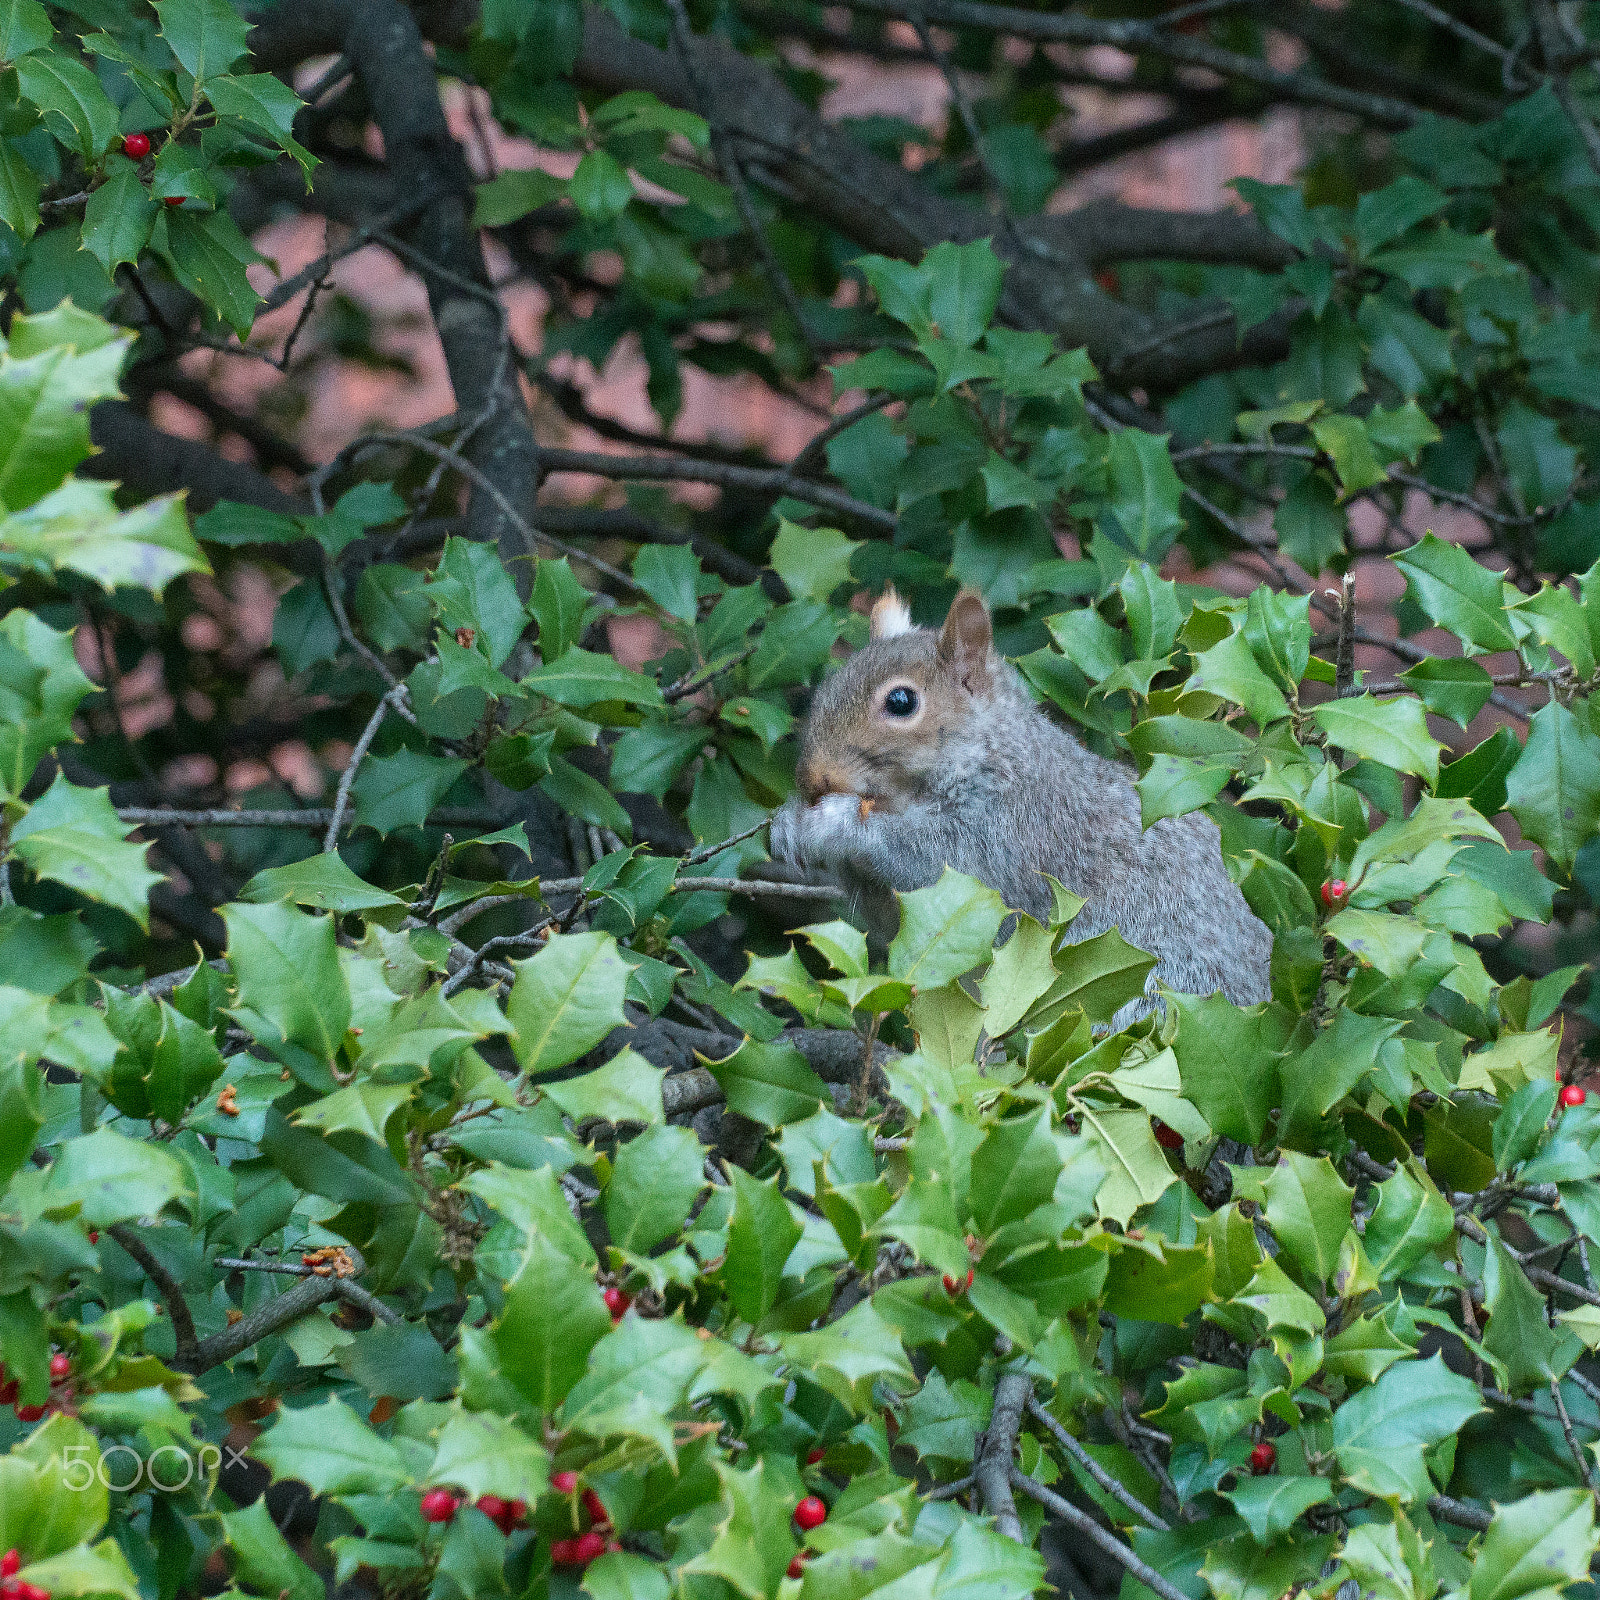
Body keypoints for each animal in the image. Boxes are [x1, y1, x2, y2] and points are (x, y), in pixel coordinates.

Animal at [768, 586, 1273, 1024]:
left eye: (901, 701)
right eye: (826, 687)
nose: (812, 780)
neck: (993, 753)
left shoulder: (1004, 837)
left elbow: (930, 865)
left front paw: (834, 822)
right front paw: (789, 824)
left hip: (1147, 990)